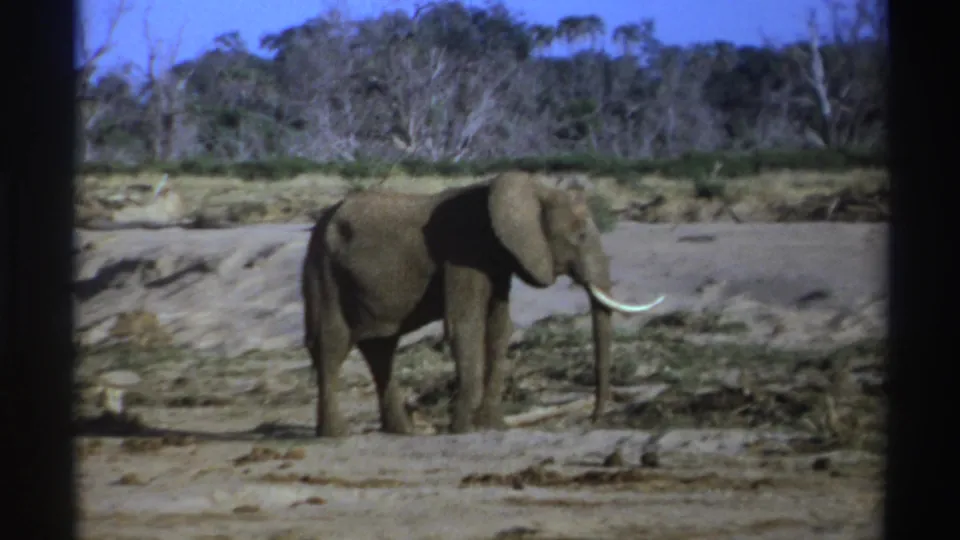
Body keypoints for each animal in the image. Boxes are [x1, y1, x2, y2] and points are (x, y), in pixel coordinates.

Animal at [301, 171, 665, 437]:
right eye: (579, 236)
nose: (594, 419)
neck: (533, 187)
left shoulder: (498, 260)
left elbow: (499, 327)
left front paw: (492, 426)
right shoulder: (465, 252)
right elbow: (466, 326)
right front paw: (462, 430)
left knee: (381, 351)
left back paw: (401, 433)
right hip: (324, 272)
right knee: (332, 346)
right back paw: (336, 434)